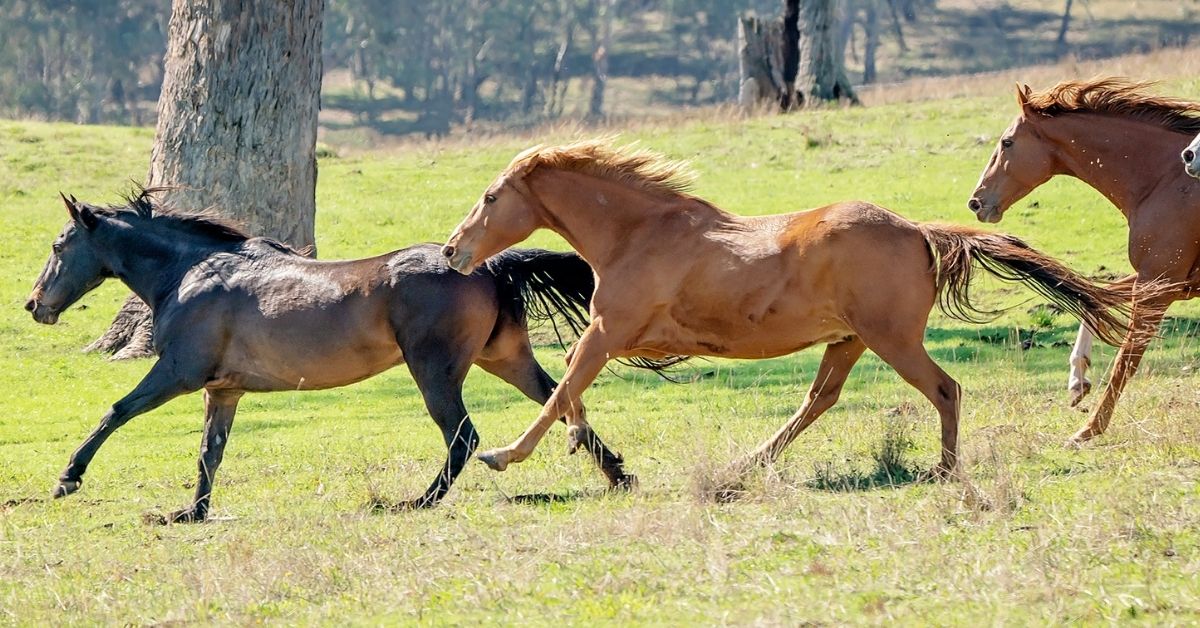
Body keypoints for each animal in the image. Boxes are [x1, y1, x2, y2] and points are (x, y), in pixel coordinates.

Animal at [25, 190, 638, 521]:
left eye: (58, 245)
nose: (34, 304)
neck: (191, 272)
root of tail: (485, 264)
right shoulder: (223, 390)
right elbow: (209, 452)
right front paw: (190, 513)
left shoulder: (178, 372)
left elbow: (116, 411)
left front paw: (67, 478)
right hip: (504, 358)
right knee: (559, 401)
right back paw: (618, 475)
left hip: (435, 371)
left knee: (463, 436)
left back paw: (416, 502)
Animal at [441, 138, 1142, 492]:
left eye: (490, 197)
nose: (452, 250)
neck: (639, 233)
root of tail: (919, 232)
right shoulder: (617, 336)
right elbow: (568, 381)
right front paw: (590, 449)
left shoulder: (610, 332)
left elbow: (562, 385)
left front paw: (506, 455)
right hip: (849, 340)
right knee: (818, 401)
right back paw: (745, 466)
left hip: (890, 340)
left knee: (945, 389)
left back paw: (945, 470)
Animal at [964, 77, 1200, 441]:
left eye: (1006, 142)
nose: (976, 202)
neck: (1165, 179)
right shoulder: (1162, 281)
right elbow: (1095, 299)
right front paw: (1077, 381)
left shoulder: (1158, 285)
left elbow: (1125, 360)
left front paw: (1089, 430)